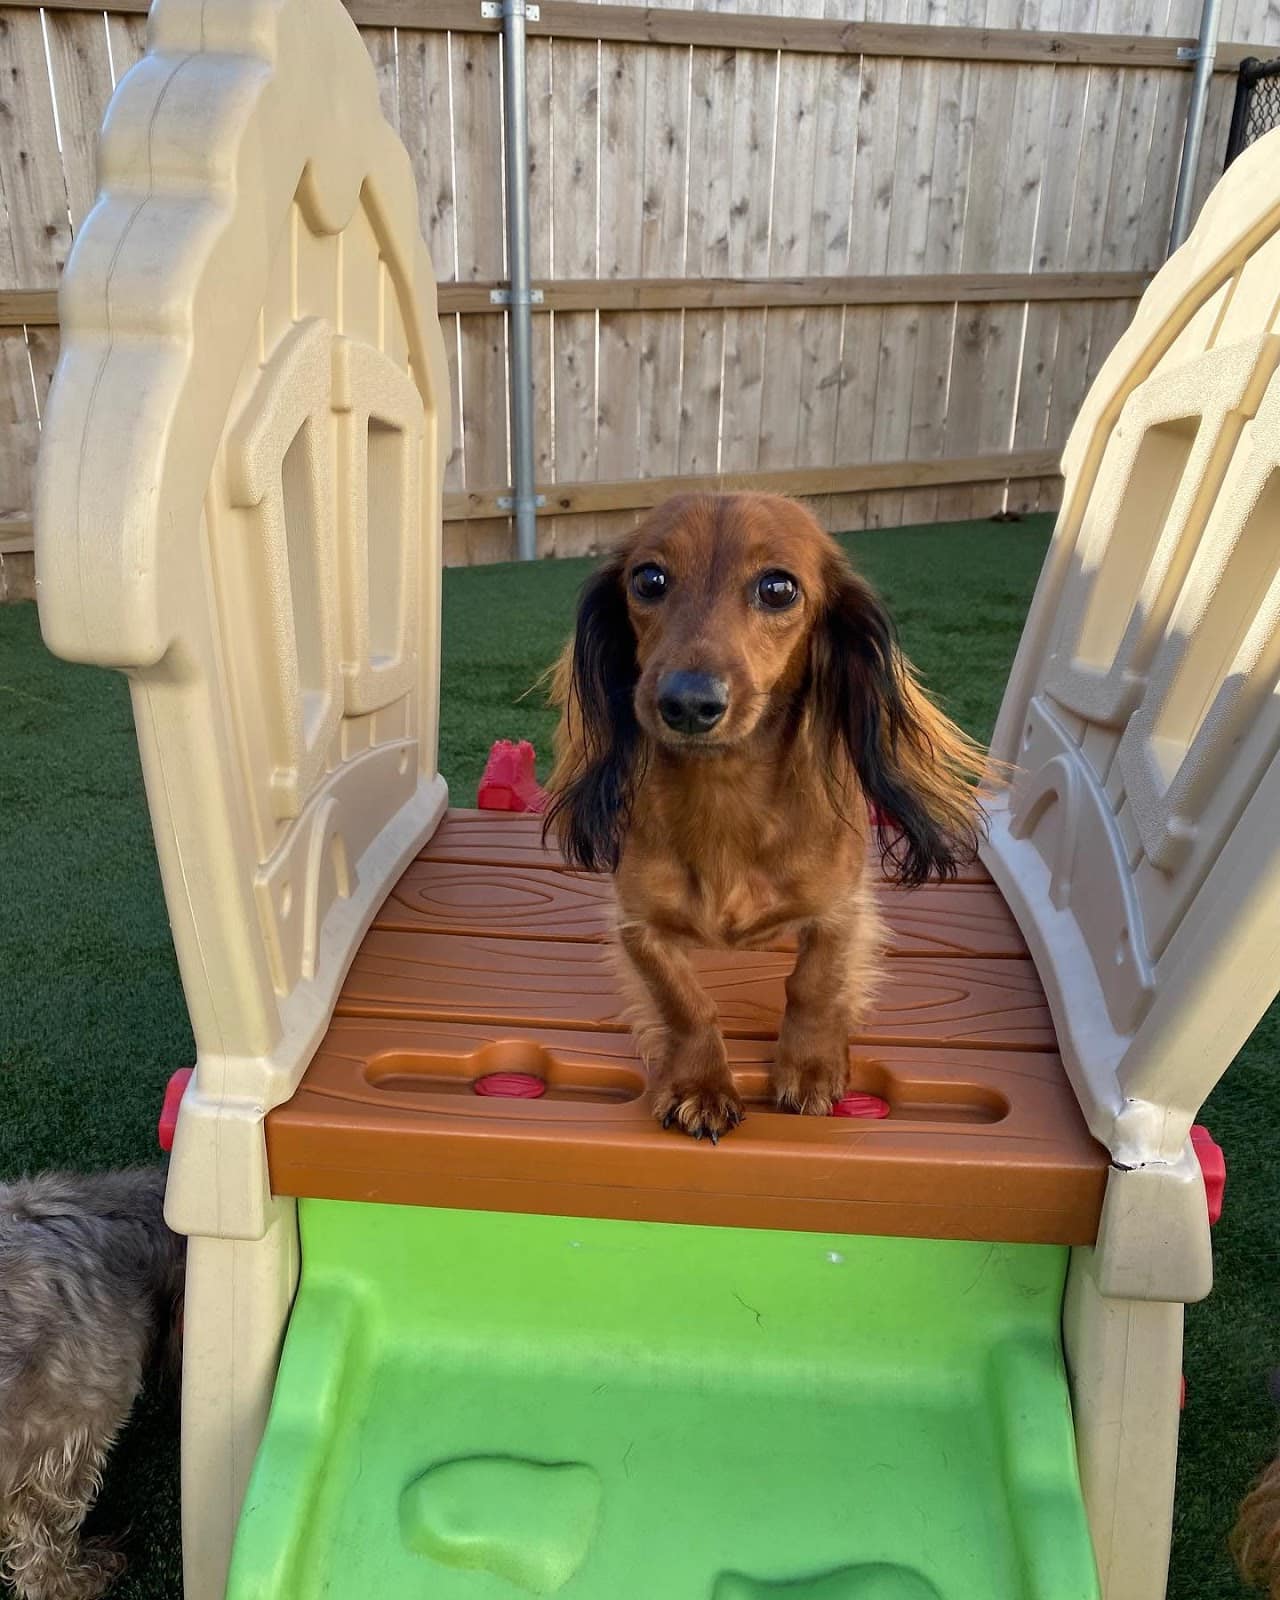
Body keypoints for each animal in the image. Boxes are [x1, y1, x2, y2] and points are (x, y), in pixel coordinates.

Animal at [544, 496, 985, 1139]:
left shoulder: (840, 910)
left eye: (778, 588)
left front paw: (810, 1066)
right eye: (648, 579)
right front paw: (701, 1084)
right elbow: (685, 1002)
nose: (688, 703)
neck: (726, 798)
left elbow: (814, 985)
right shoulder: (637, 924)